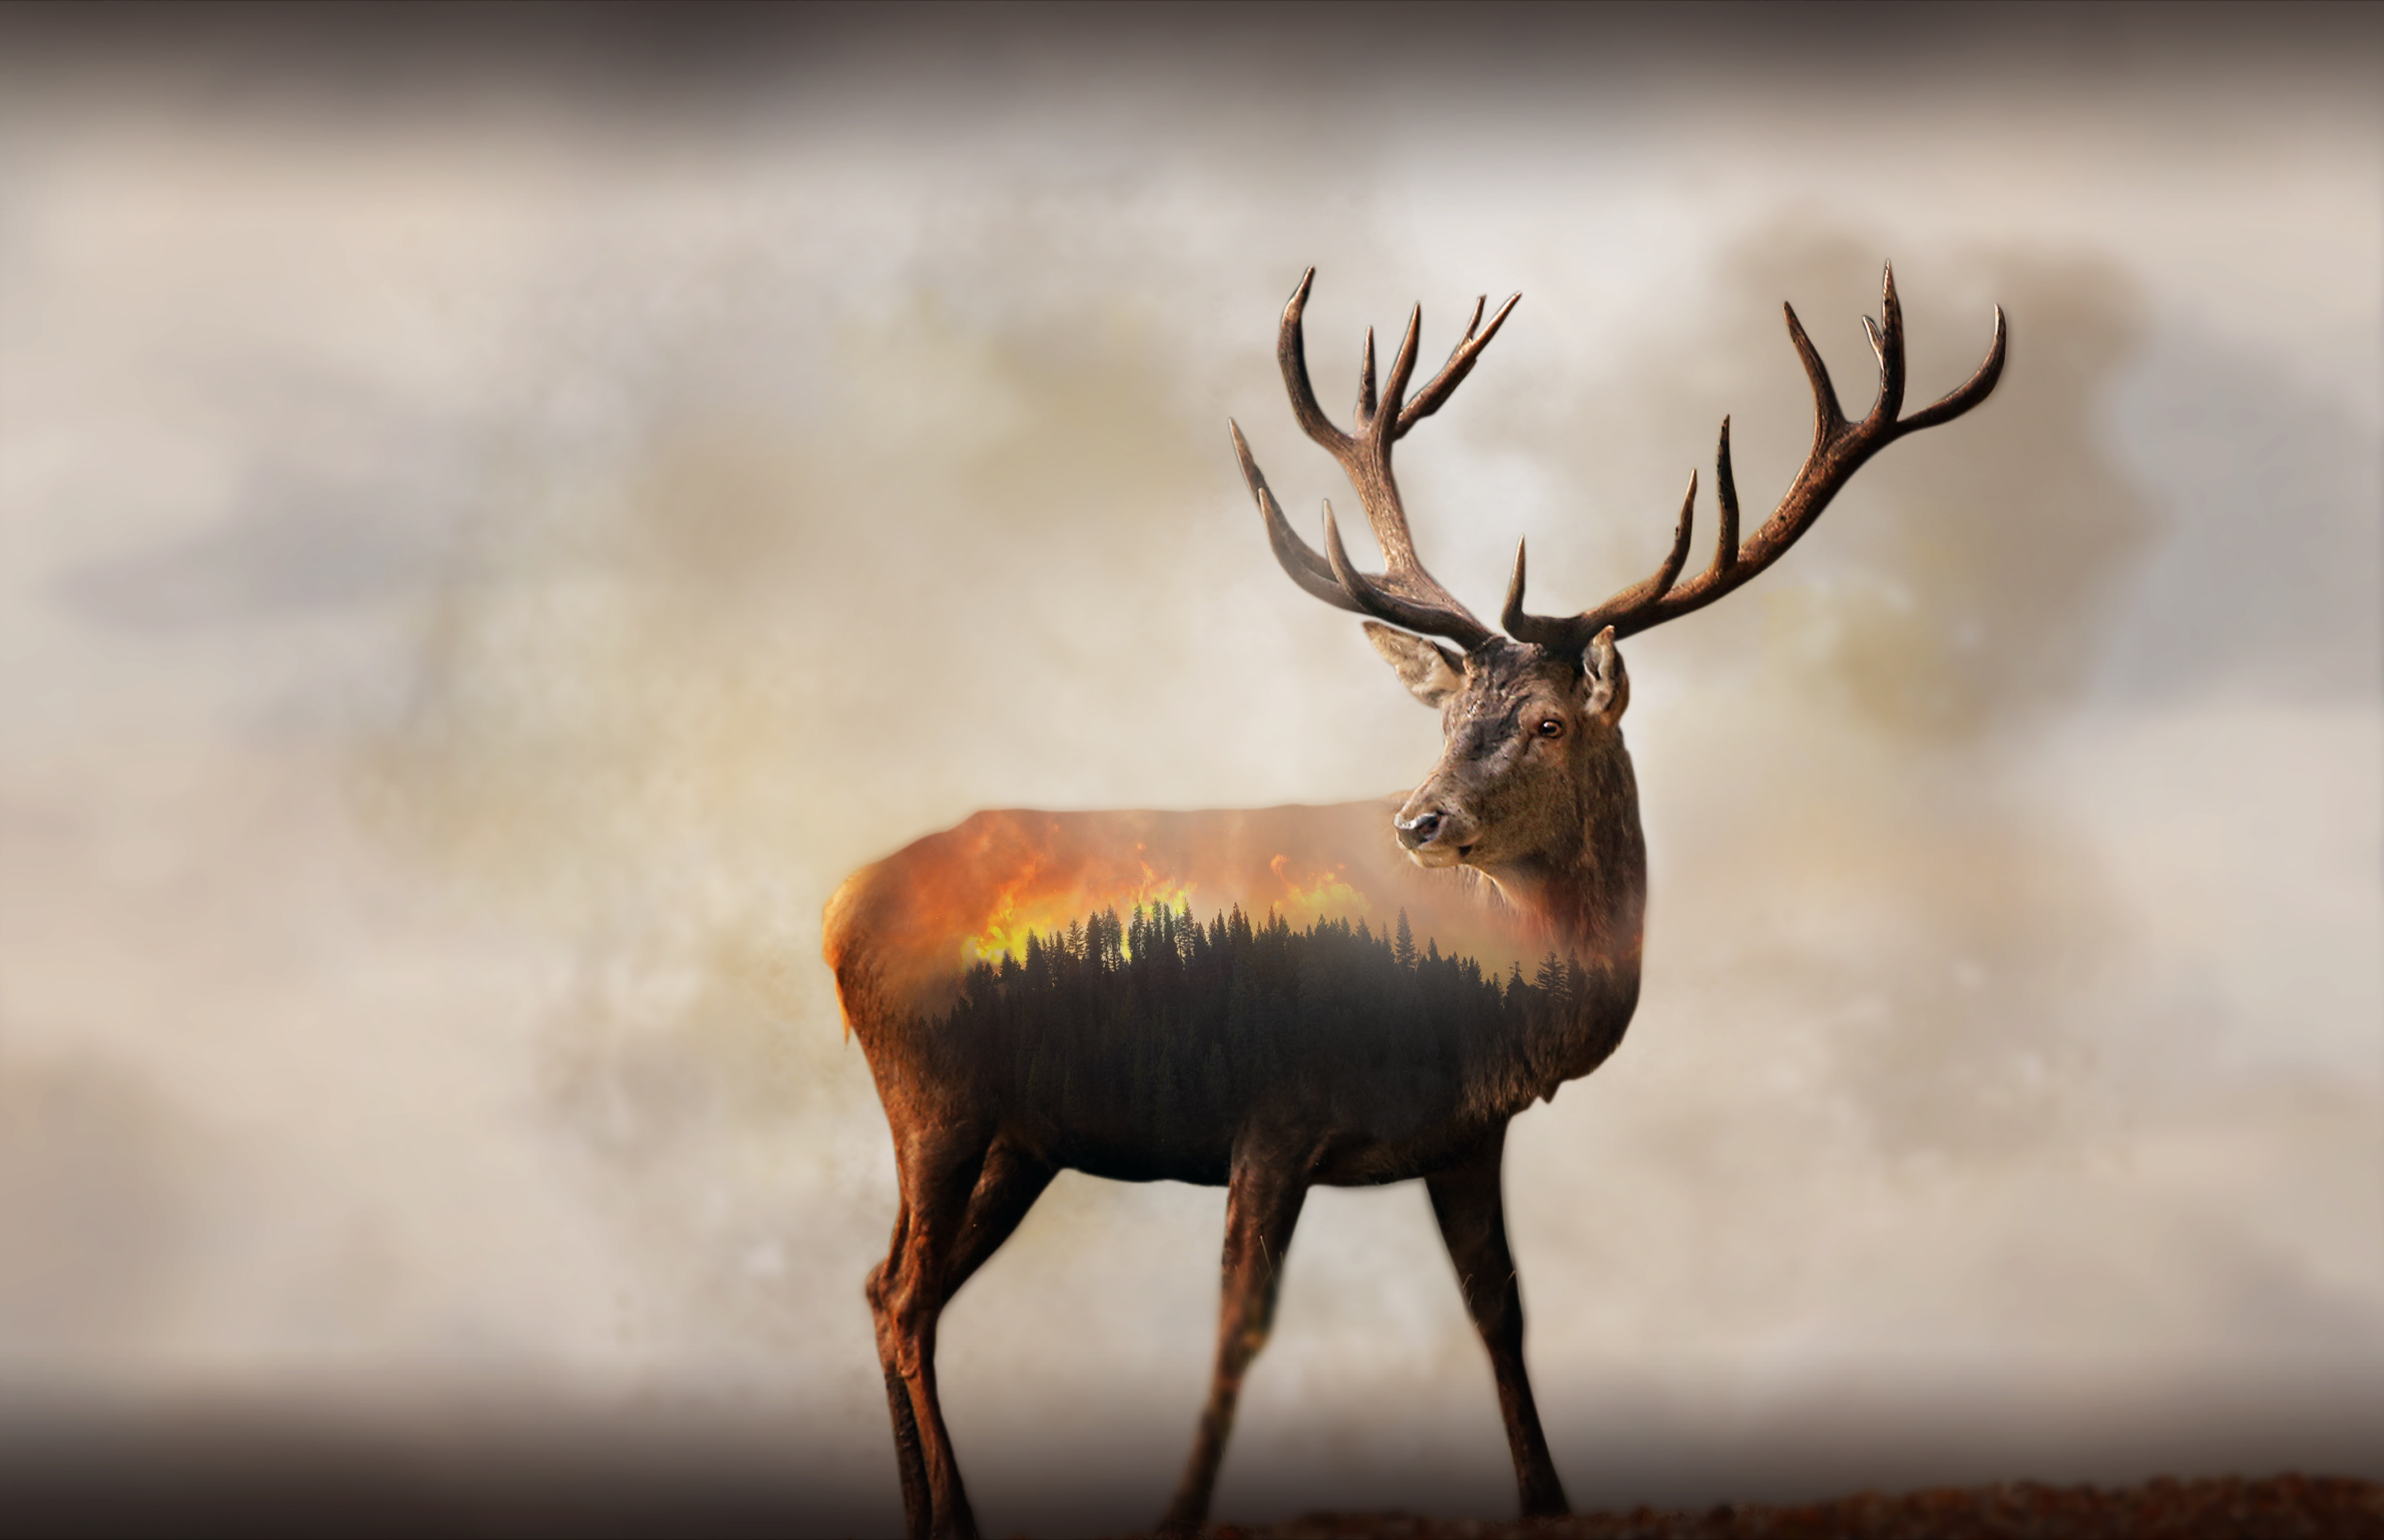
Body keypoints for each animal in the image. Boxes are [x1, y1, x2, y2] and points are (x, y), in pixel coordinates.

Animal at [823, 264, 2004, 1540]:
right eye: (1444, 718)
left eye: (1547, 722)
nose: (1418, 820)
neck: (1480, 1000)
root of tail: (838, 905)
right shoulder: (1272, 1106)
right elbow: (1239, 1326)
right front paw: (1178, 1514)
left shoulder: (1466, 1133)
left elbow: (1501, 1304)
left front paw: (1548, 1497)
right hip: (934, 1093)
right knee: (906, 1292)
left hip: (1022, 1133)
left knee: (893, 1288)